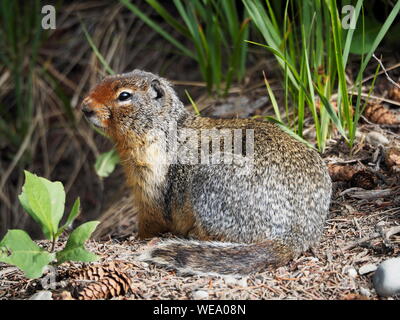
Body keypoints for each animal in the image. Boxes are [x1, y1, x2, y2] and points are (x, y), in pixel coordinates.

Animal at [81, 69, 332, 276]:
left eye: (124, 95)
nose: (85, 107)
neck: (163, 128)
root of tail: (298, 232)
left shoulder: (151, 175)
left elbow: (151, 217)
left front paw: (136, 237)